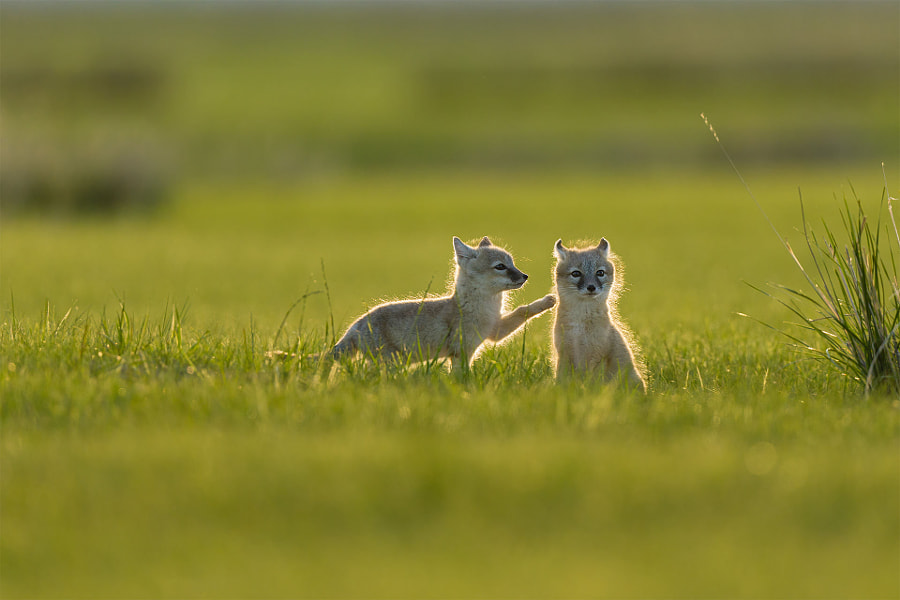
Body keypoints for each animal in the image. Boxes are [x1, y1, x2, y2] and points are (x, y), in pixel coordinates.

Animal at [329, 236, 556, 373]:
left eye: (512, 264)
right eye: (500, 267)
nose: (525, 276)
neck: (485, 309)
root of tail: (357, 324)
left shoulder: (495, 331)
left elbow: (522, 310)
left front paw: (547, 301)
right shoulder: (461, 352)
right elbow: (462, 377)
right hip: (391, 363)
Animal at [552, 238, 646, 391]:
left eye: (600, 273)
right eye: (576, 274)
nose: (591, 287)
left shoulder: (597, 356)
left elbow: (593, 383)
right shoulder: (564, 353)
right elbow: (561, 380)